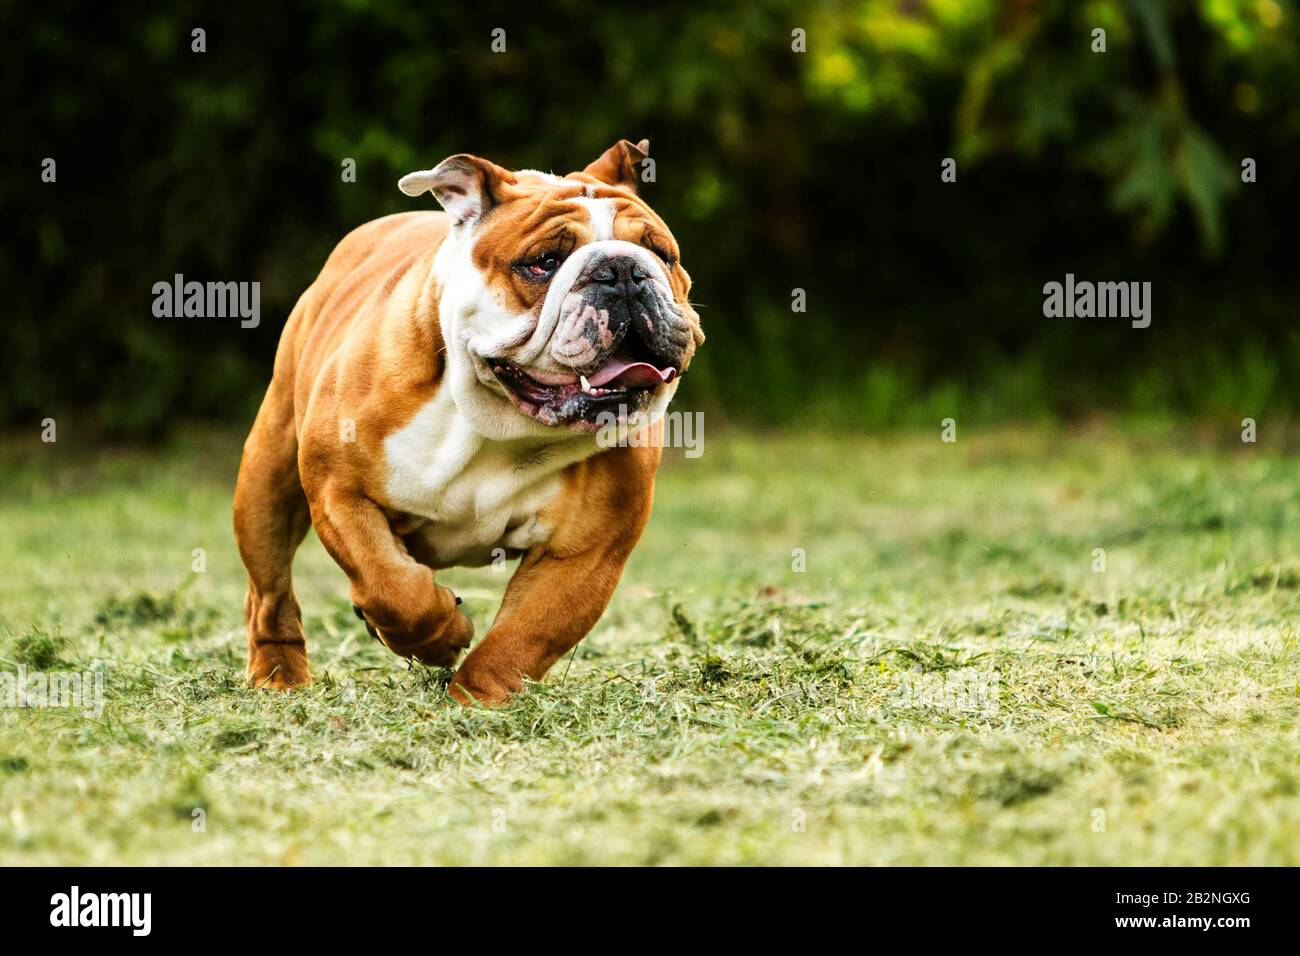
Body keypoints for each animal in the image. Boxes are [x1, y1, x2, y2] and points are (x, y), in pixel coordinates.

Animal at [233, 140, 702, 702]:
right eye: (544, 263)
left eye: (662, 254)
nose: (625, 272)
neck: (498, 419)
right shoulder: (340, 492)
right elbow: (391, 587)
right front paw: (441, 634)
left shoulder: (584, 552)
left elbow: (523, 636)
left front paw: (474, 699)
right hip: (268, 480)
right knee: (270, 591)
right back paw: (279, 674)